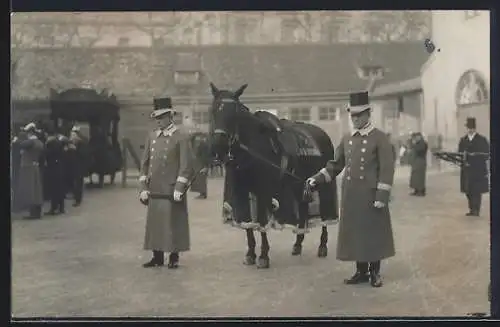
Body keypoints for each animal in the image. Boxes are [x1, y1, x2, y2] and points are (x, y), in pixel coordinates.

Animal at [207, 82, 340, 270]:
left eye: (233, 113)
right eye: (212, 111)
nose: (218, 146)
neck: (253, 149)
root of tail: (322, 133)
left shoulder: (264, 192)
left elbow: (262, 223)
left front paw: (263, 256)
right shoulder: (241, 192)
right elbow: (248, 224)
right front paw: (250, 254)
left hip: (323, 184)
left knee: (324, 215)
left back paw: (322, 246)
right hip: (300, 185)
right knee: (303, 210)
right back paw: (298, 243)